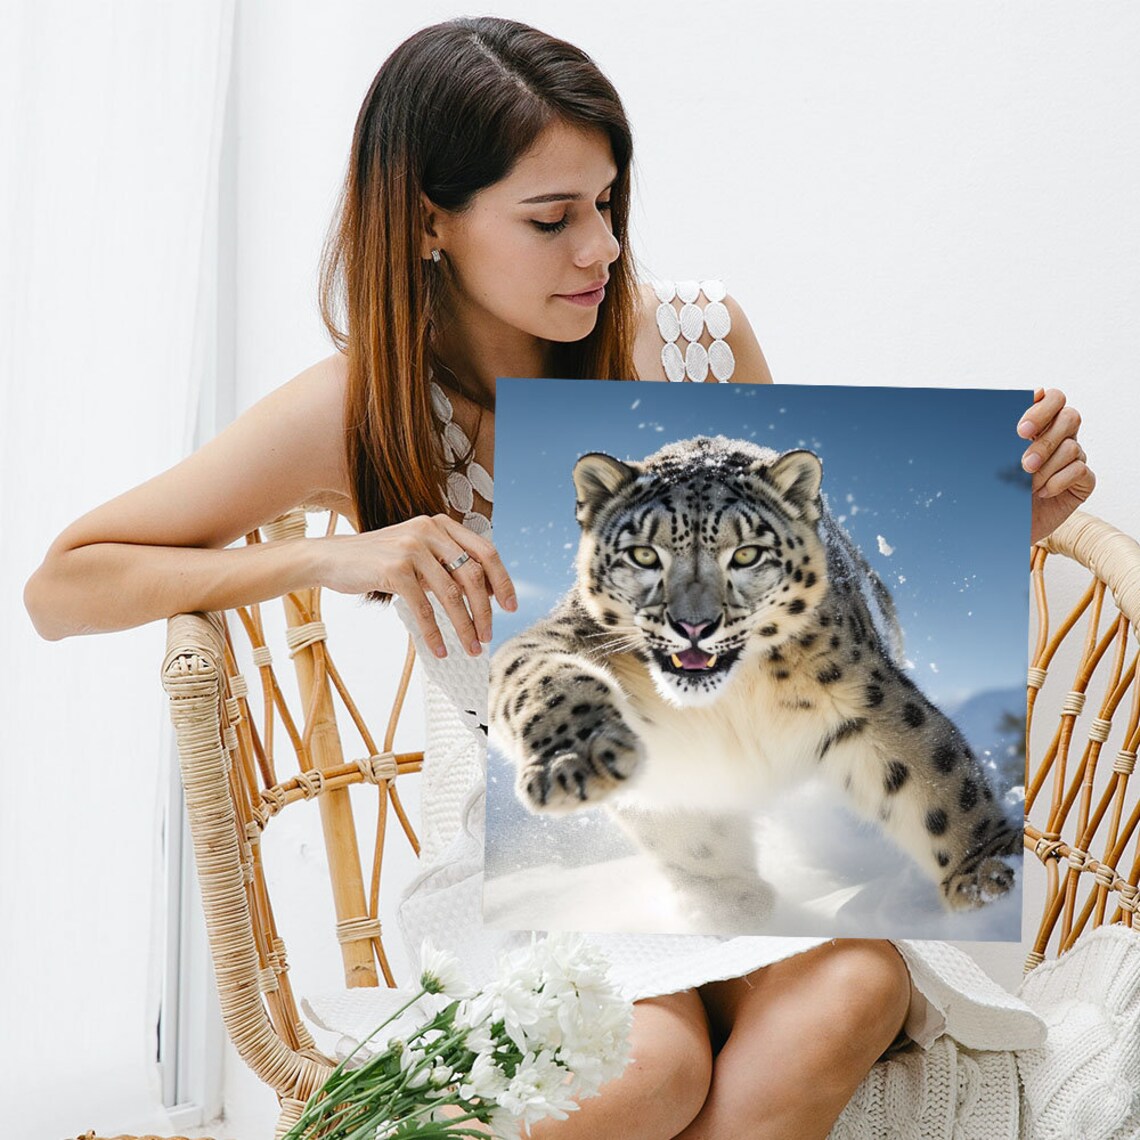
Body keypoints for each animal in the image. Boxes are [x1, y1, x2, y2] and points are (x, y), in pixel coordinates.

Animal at [488, 435, 1022, 933]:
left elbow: (934, 773)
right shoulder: (571, 642)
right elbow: (544, 679)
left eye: (746, 554)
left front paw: (988, 876)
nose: (694, 625)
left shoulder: (863, 695)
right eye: (643, 554)